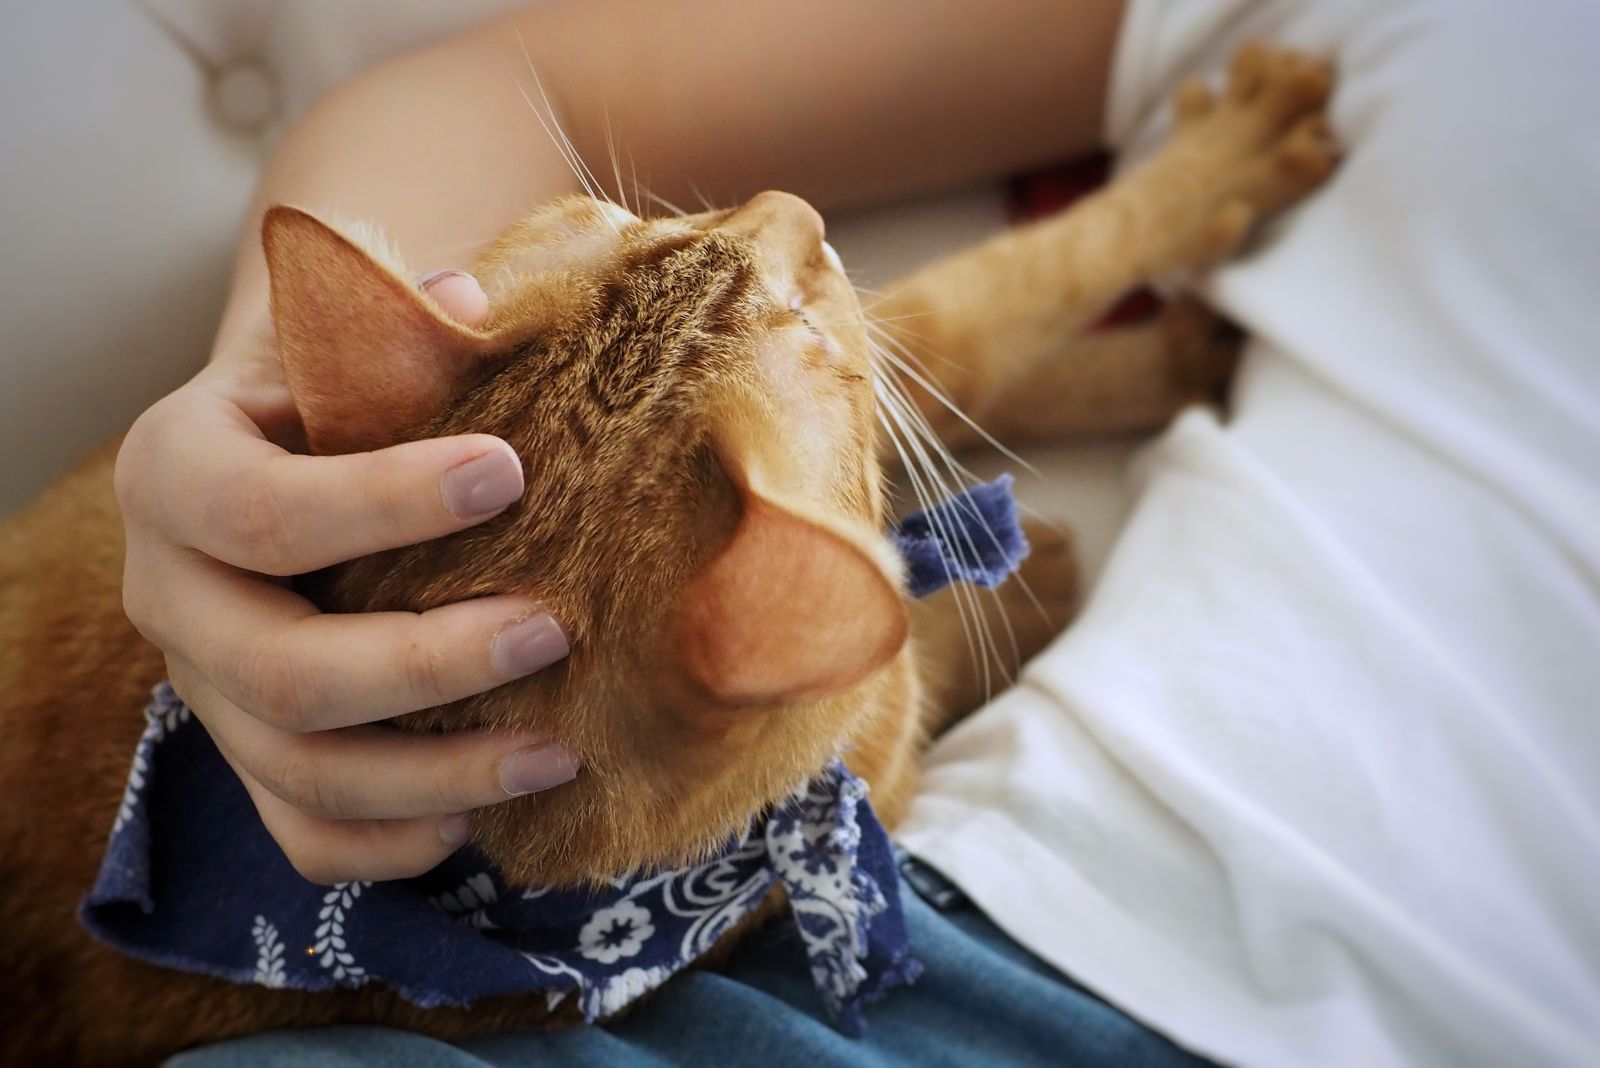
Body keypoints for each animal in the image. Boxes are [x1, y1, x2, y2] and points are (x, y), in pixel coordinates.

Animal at [0, 43, 1331, 1068]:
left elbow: (951, 351)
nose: (795, 205)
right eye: (801, 323)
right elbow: (978, 313)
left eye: (624, 217)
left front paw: (1162, 356)